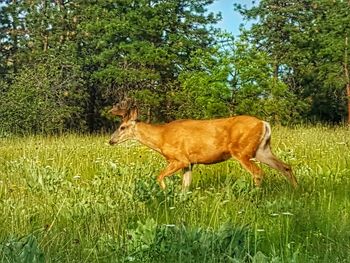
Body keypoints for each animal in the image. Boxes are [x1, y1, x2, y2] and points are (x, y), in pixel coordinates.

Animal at [107, 101, 298, 192]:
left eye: (122, 127)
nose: (111, 141)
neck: (161, 138)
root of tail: (264, 123)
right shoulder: (190, 163)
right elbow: (185, 186)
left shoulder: (180, 159)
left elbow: (159, 176)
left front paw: (165, 192)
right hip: (261, 150)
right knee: (285, 166)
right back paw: (296, 190)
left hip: (241, 151)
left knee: (258, 172)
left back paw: (254, 196)